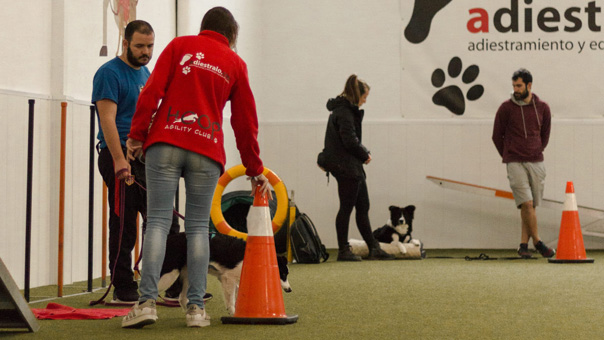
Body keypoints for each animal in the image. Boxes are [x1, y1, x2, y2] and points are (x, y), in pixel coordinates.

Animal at [157, 232, 292, 314]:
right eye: (283, 274)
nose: (290, 290)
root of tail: (169, 239)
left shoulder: (225, 278)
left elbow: (234, 294)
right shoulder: (229, 277)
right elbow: (231, 298)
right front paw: (233, 312)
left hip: (188, 275)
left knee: (182, 298)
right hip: (169, 274)